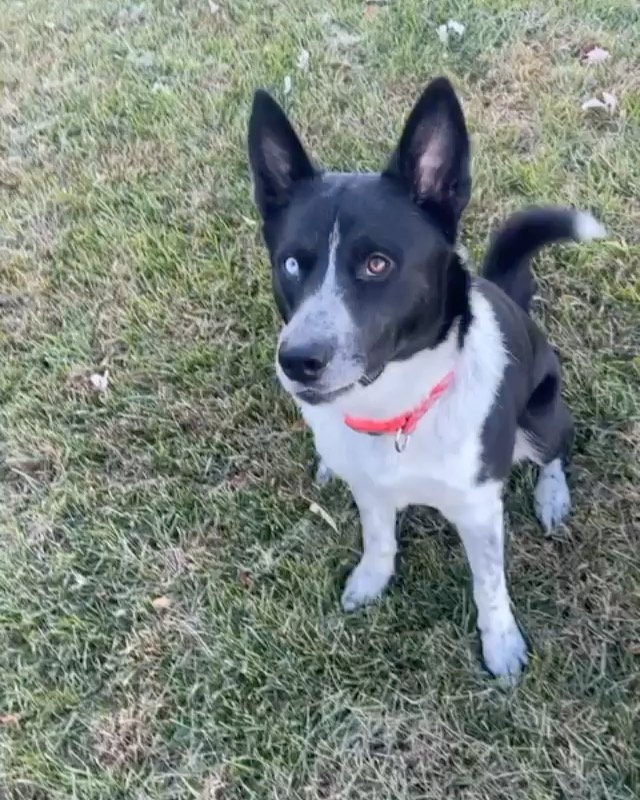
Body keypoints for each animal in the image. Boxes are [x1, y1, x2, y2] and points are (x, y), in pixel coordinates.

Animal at [246, 78, 604, 680]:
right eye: (292, 264)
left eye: (377, 264)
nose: (296, 360)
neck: (397, 408)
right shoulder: (371, 490)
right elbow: (378, 538)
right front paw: (371, 581)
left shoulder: (480, 510)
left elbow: (490, 586)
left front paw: (501, 645)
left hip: (541, 415)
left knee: (556, 446)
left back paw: (552, 495)